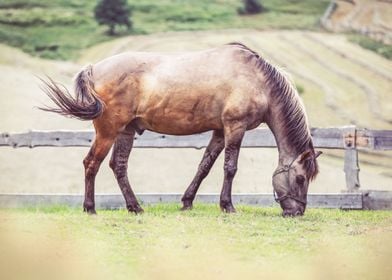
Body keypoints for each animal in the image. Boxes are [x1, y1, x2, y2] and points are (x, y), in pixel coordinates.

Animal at [39, 42, 322, 217]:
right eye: (300, 179)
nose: (297, 212)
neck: (258, 80)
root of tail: (94, 69)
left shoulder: (220, 132)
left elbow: (204, 166)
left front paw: (187, 202)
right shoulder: (235, 127)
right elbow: (230, 168)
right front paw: (227, 206)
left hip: (125, 131)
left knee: (118, 166)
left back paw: (135, 207)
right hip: (108, 132)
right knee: (91, 164)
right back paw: (90, 208)